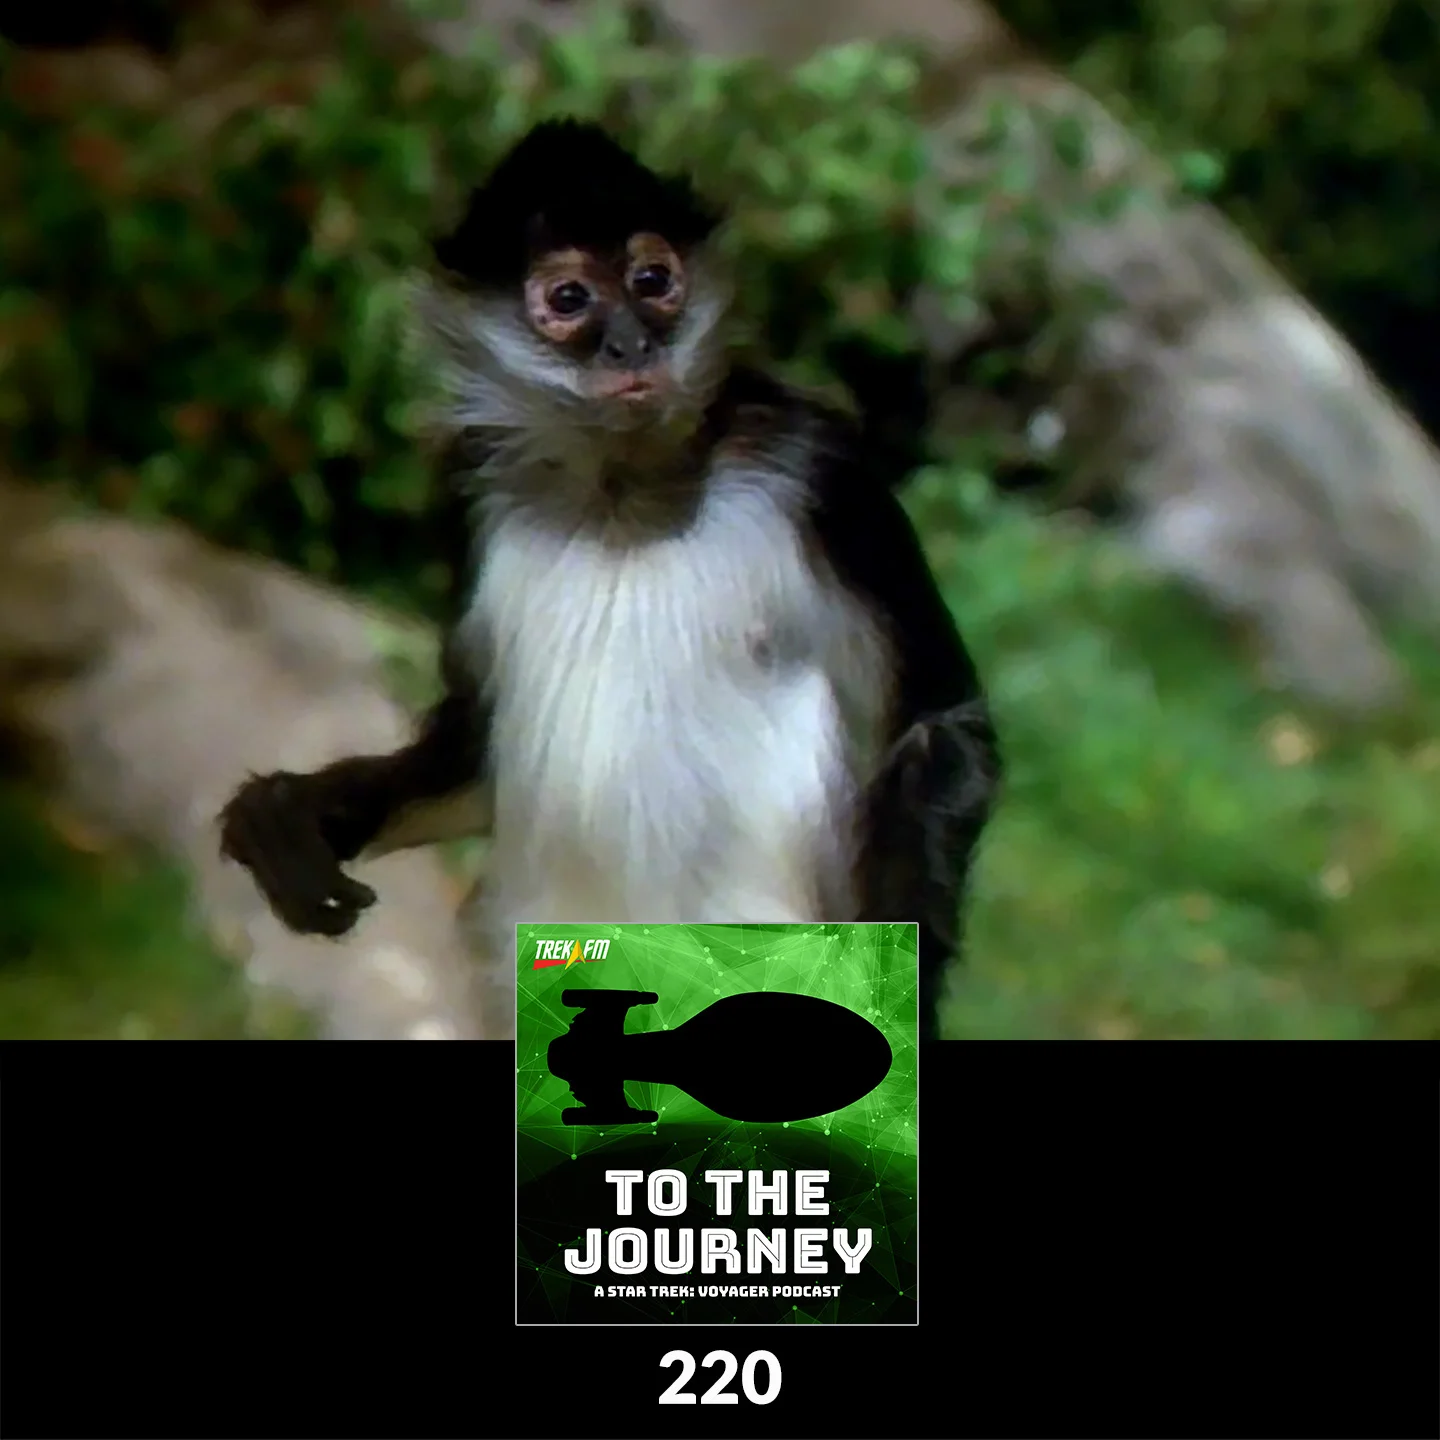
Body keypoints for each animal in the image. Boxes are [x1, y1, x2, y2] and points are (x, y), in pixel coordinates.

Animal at [216, 119, 1000, 1042]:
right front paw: (297, 813)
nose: (632, 343)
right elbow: (478, 752)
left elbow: (941, 721)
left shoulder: (816, 464)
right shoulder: (471, 488)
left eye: (652, 282)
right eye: (569, 300)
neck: (624, 494)